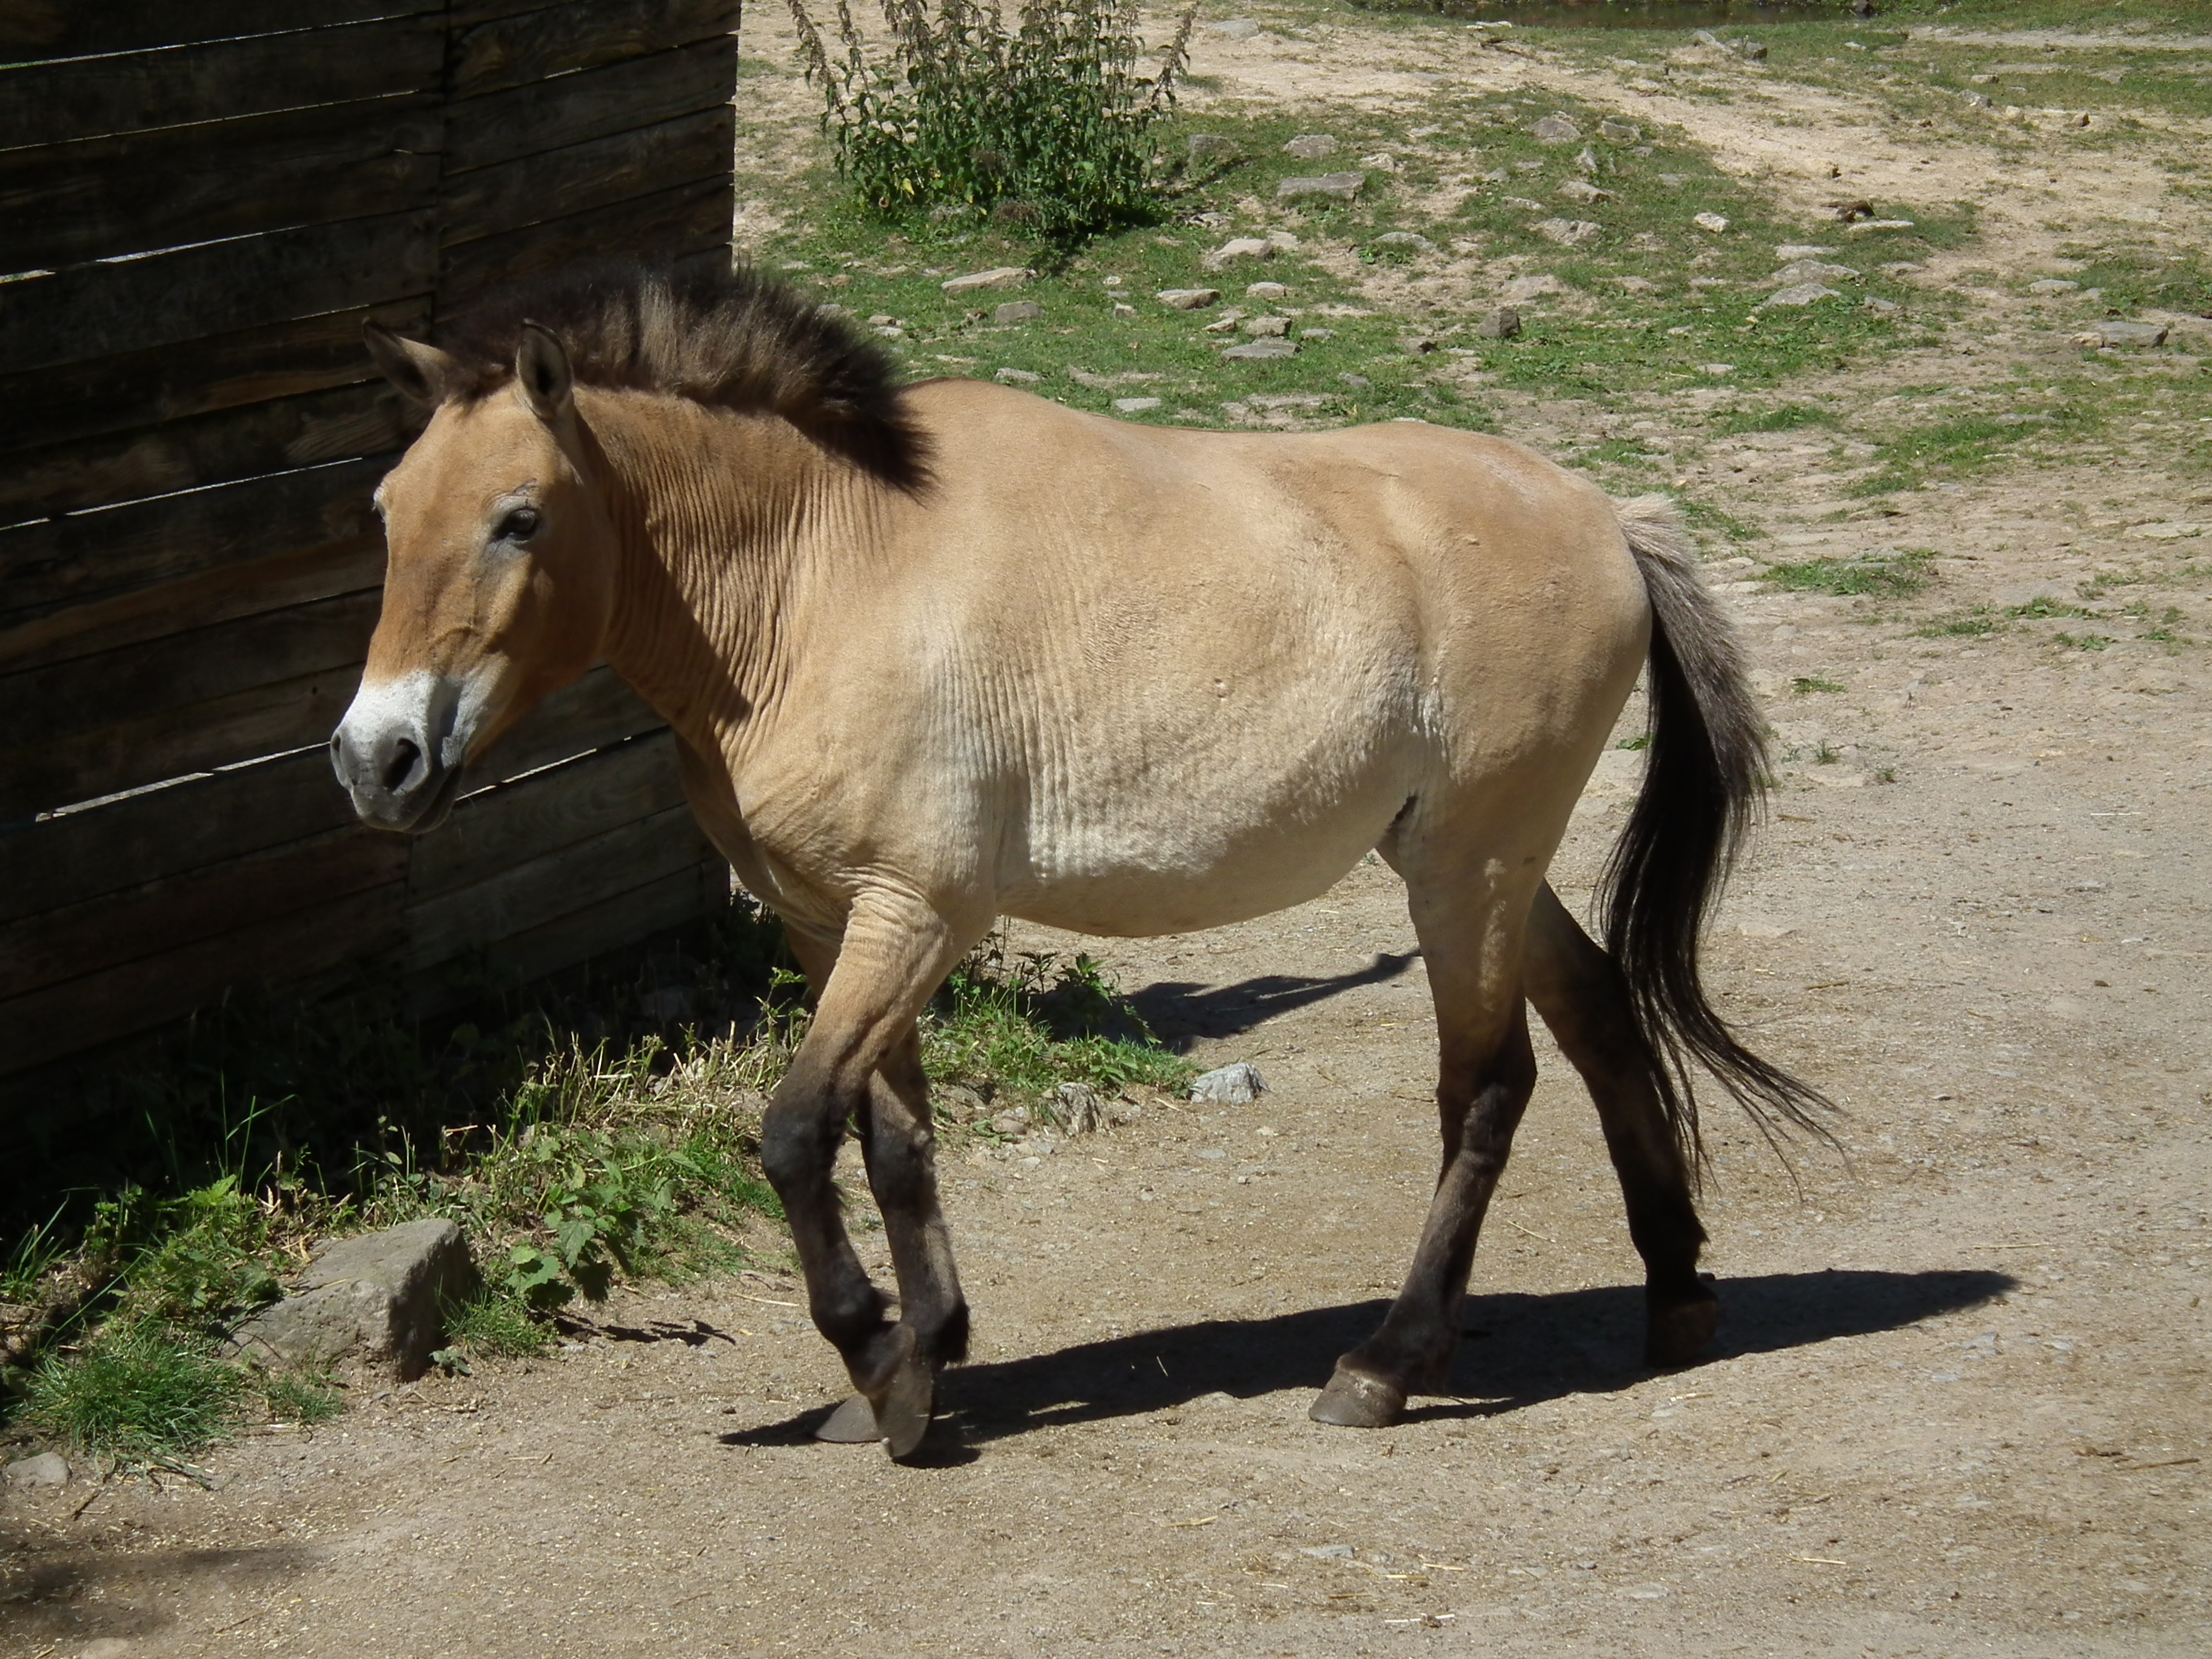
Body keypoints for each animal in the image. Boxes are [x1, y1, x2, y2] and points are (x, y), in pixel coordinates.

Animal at [333, 261, 1827, 1459]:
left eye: (520, 517)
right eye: (389, 507)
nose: (374, 759)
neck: (826, 573)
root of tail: (1604, 516)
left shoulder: (915, 917)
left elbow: (797, 1134)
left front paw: (878, 1357)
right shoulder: (836, 924)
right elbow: (895, 1146)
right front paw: (918, 1364)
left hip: (1464, 875)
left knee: (1490, 1089)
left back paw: (1385, 1368)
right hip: (1490, 867)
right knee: (1601, 1019)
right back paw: (1675, 1295)